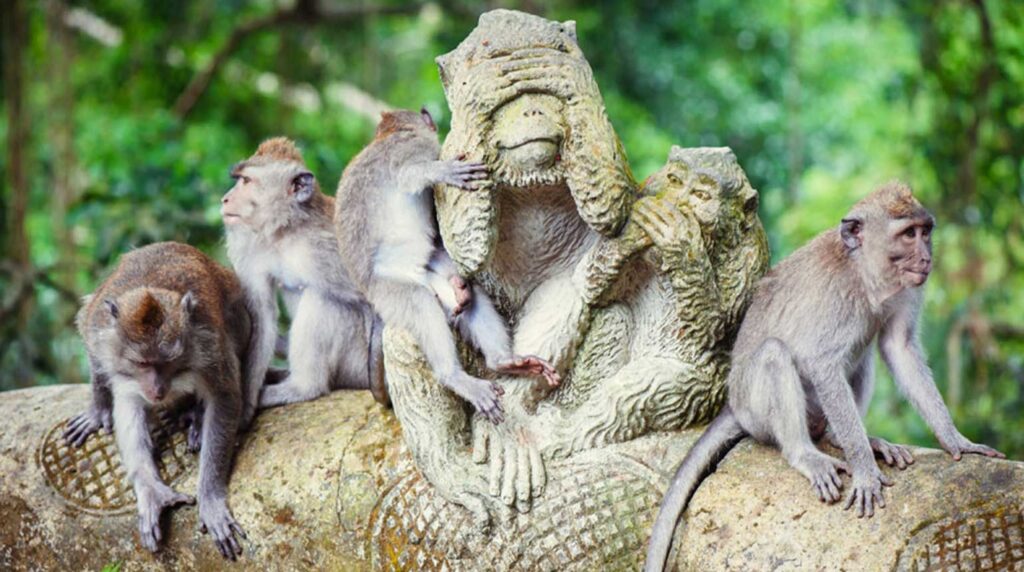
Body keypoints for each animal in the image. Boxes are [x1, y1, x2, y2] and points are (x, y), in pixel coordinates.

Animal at [63, 242, 252, 559]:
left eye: (169, 362)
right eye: (142, 363)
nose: (158, 389)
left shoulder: (209, 345)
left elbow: (225, 397)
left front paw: (209, 496)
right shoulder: (99, 329)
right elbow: (101, 364)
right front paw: (99, 408)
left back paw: (195, 415)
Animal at [221, 137, 390, 409]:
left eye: (246, 181)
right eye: (239, 179)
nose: (225, 199)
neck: (288, 231)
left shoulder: (329, 250)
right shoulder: (252, 251)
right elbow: (262, 318)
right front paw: (246, 406)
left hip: (356, 366)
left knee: (323, 299)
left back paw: (304, 388)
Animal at [333, 108, 560, 424]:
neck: (389, 134)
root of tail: (369, 293)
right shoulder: (410, 147)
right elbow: (408, 175)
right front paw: (445, 172)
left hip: (428, 277)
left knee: (465, 293)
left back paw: (503, 361)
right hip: (389, 291)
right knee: (420, 305)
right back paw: (454, 376)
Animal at [644, 182, 1004, 571]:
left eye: (926, 232)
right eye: (909, 234)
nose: (926, 258)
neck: (864, 273)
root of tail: (733, 407)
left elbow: (899, 348)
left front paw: (956, 440)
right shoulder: (838, 297)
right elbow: (823, 365)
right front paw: (865, 472)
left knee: (862, 355)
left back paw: (844, 437)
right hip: (755, 412)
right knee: (774, 354)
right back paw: (806, 453)